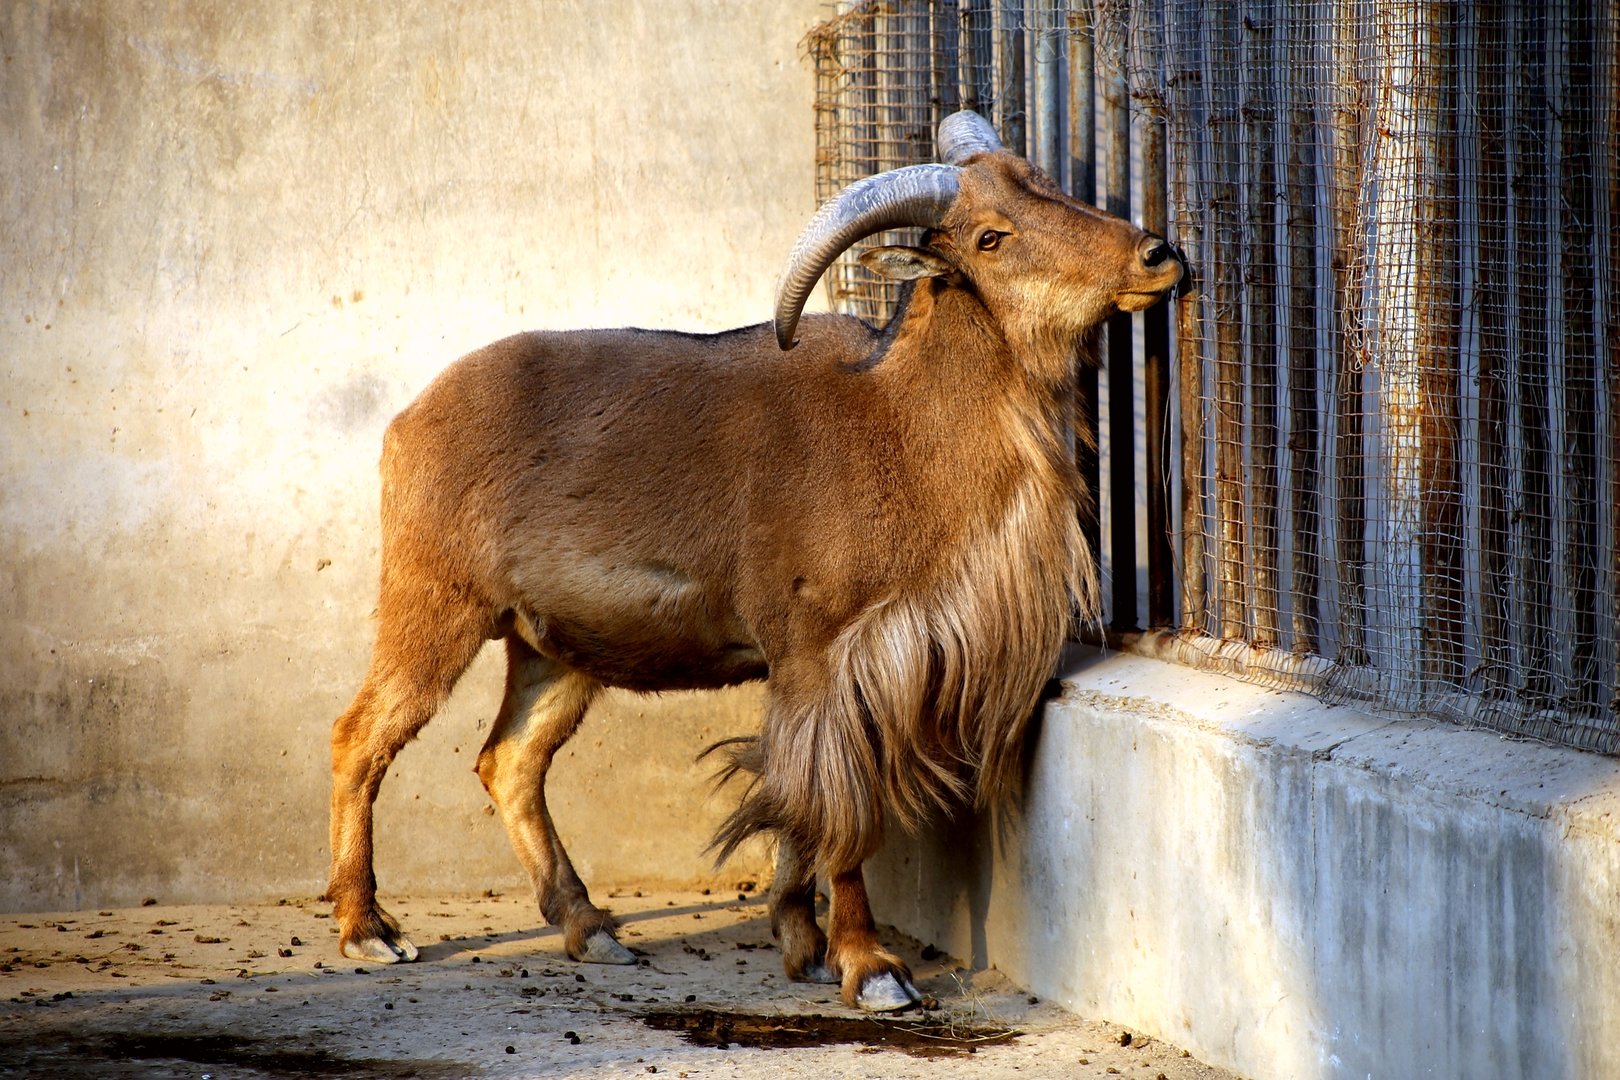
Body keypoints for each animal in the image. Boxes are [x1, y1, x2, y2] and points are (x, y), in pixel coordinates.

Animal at [326, 110, 1185, 1012]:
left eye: (1048, 184)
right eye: (991, 235)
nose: (1158, 256)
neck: (902, 424)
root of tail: (408, 420)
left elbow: (800, 807)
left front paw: (801, 941)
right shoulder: (823, 657)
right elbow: (842, 815)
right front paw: (869, 967)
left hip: (551, 650)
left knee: (511, 762)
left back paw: (592, 929)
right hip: (435, 602)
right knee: (361, 737)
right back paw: (368, 929)